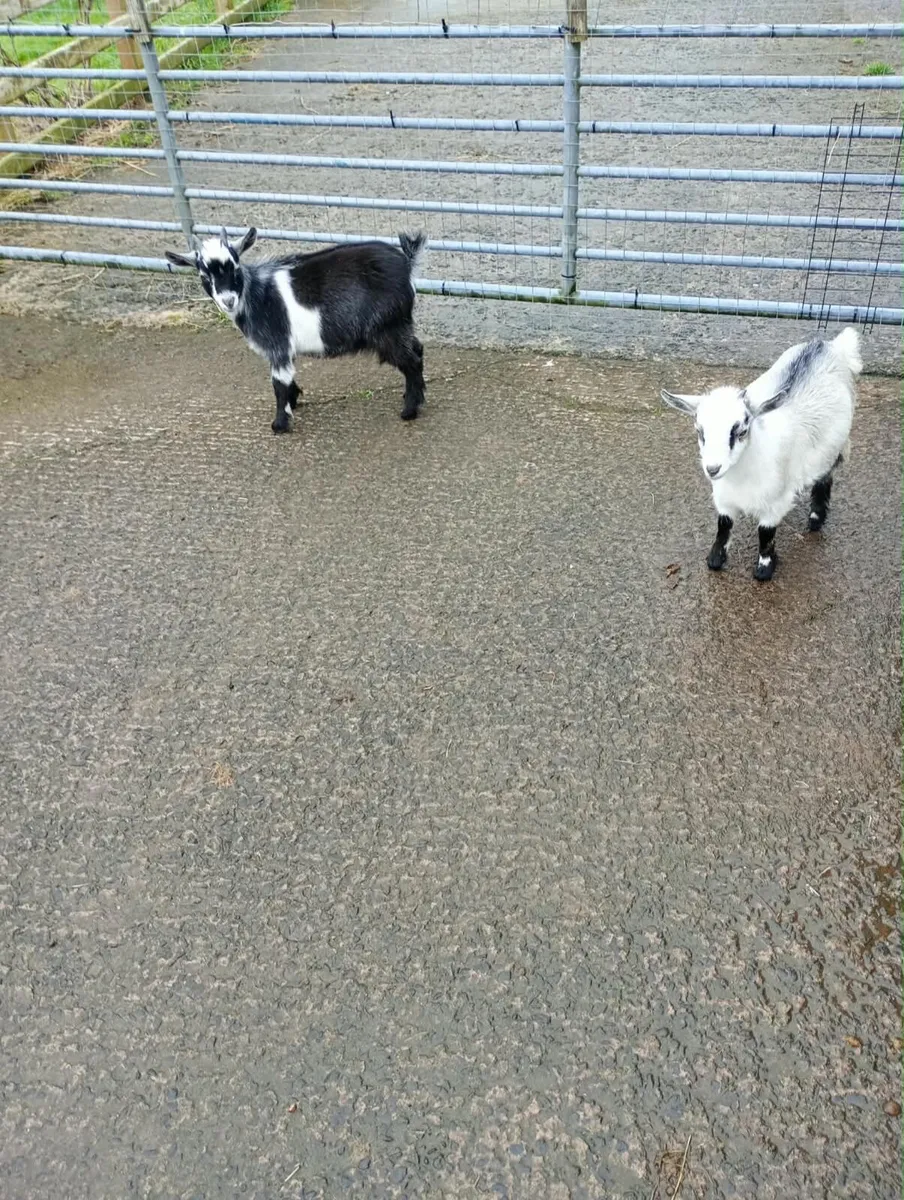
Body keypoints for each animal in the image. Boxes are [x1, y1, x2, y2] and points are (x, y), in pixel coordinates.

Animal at [166, 228, 426, 434]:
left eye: (235, 267)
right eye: (203, 274)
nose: (228, 300)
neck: (255, 295)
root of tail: (406, 263)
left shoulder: (277, 344)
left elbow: (278, 384)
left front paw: (280, 424)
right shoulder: (285, 349)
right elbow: (288, 380)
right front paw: (294, 401)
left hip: (387, 329)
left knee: (411, 361)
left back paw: (409, 411)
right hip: (400, 325)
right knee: (418, 349)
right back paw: (415, 396)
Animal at [660, 326, 861, 581]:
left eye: (741, 431)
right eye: (700, 431)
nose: (713, 469)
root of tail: (828, 345)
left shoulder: (776, 501)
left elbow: (765, 533)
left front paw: (765, 568)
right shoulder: (724, 499)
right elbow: (723, 526)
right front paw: (715, 558)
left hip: (835, 446)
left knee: (826, 476)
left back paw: (816, 519)